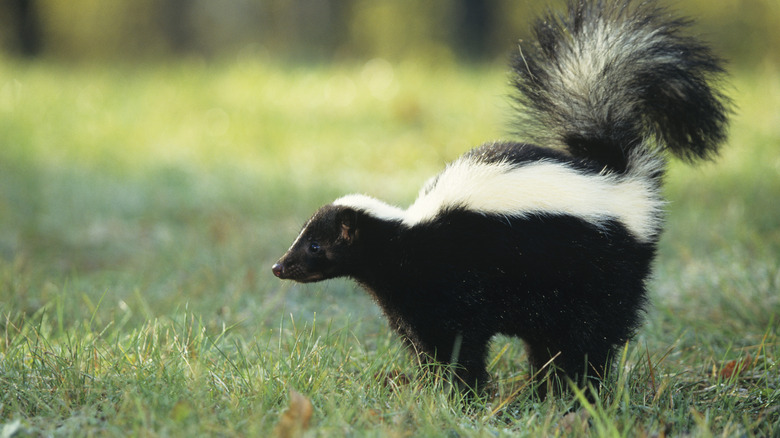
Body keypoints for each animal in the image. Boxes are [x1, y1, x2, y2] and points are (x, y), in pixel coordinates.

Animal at [272, 0, 728, 396]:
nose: (279, 266)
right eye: (302, 239)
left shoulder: (451, 286)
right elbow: (426, 346)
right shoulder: (411, 304)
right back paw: (546, 388)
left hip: (600, 273)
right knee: (551, 342)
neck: (405, 238)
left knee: (589, 338)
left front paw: (462, 393)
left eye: (315, 245)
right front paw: (433, 389)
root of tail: (614, 174)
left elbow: (459, 345)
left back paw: (577, 391)